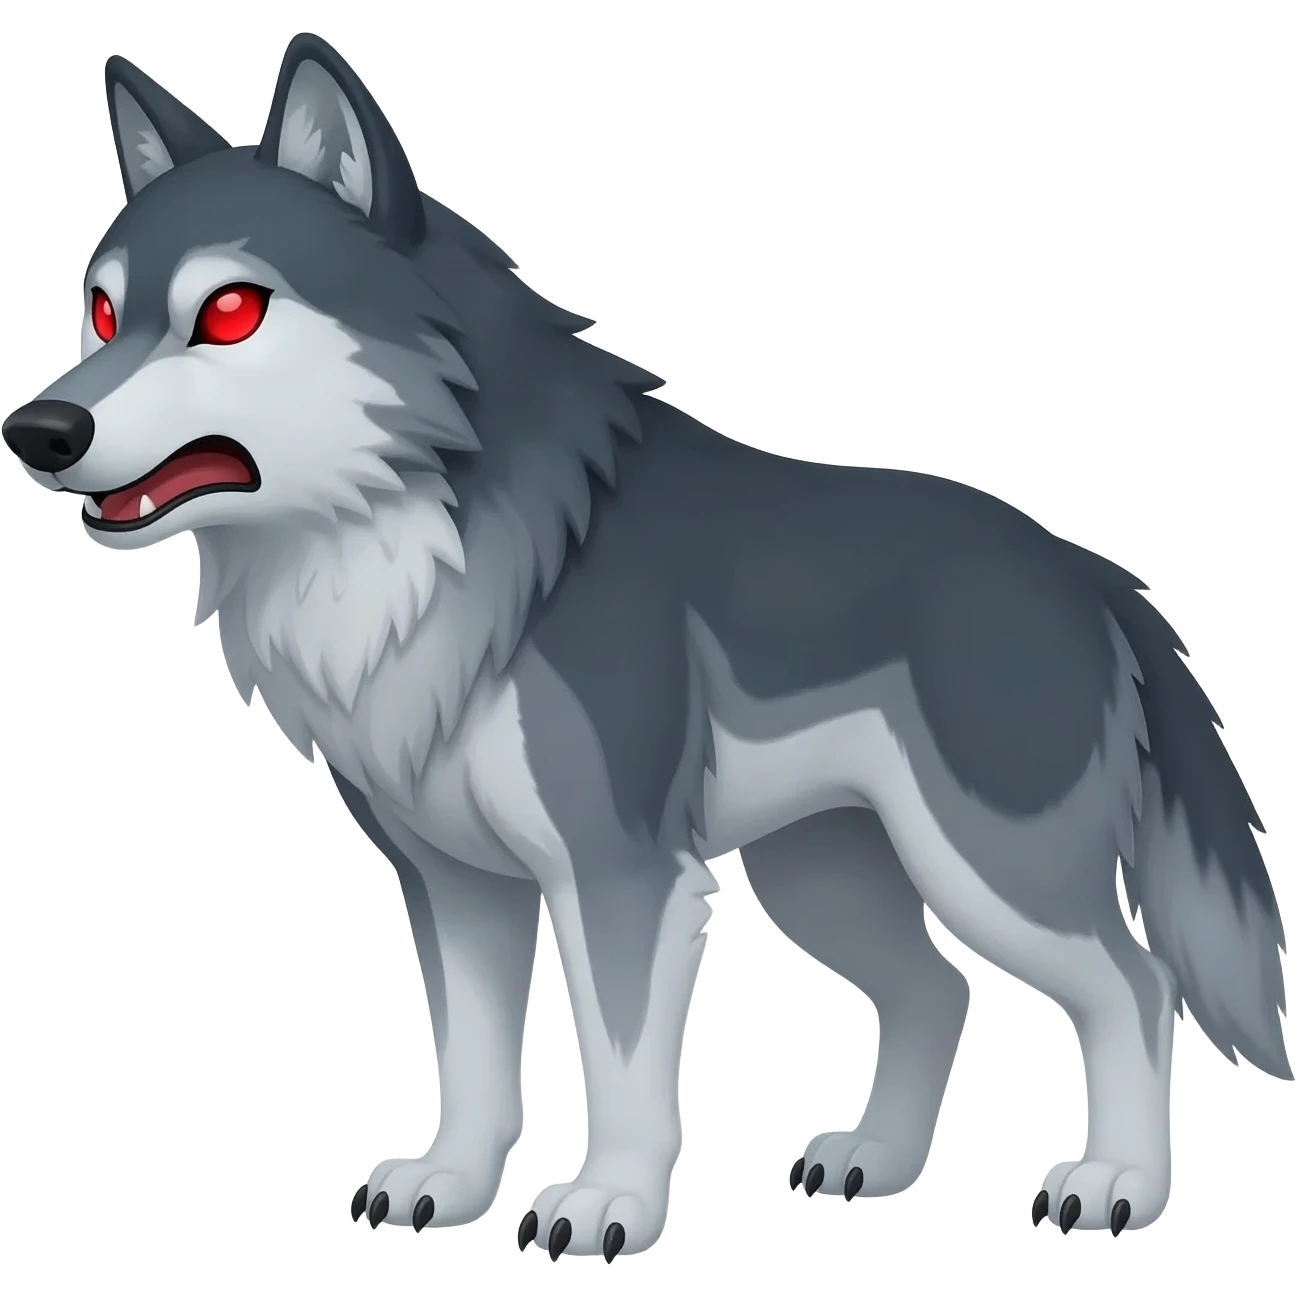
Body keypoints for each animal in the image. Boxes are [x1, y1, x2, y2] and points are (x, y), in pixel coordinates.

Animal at [2, 30, 1289, 1260]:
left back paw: (1115, 1183)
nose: (38, 429)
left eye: (228, 312)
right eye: (102, 313)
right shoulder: (456, 883)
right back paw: (873, 1160)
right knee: (939, 992)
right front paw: (449, 1186)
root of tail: (1091, 572)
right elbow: (472, 1064)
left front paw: (606, 1202)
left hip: (985, 867)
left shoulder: (619, 871)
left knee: (1134, 987)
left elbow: (621, 1066)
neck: (419, 537)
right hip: (819, 877)